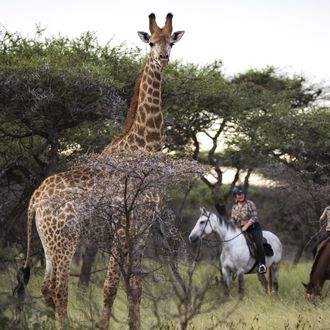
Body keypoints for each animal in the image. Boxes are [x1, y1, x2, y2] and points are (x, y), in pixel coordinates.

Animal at [15, 12, 184, 328]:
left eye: (172, 42)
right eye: (151, 42)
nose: (163, 57)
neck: (144, 149)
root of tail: (35, 199)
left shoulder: (141, 230)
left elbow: (135, 287)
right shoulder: (120, 229)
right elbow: (110, 287)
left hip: (47, 241)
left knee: (45, 286)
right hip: (64, 240)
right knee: (58, 287)